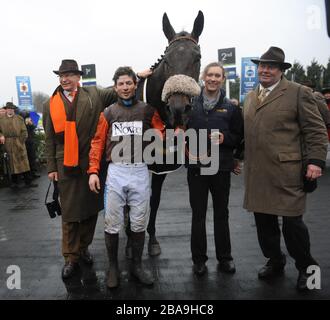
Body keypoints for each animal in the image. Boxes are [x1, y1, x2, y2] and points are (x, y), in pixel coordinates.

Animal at [126, 10, 204, 258]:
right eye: (167, 60)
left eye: (197, 57)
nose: (178, 109)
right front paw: (131, 241)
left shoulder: (161, 167)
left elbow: (155, 199)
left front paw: (151, 240)